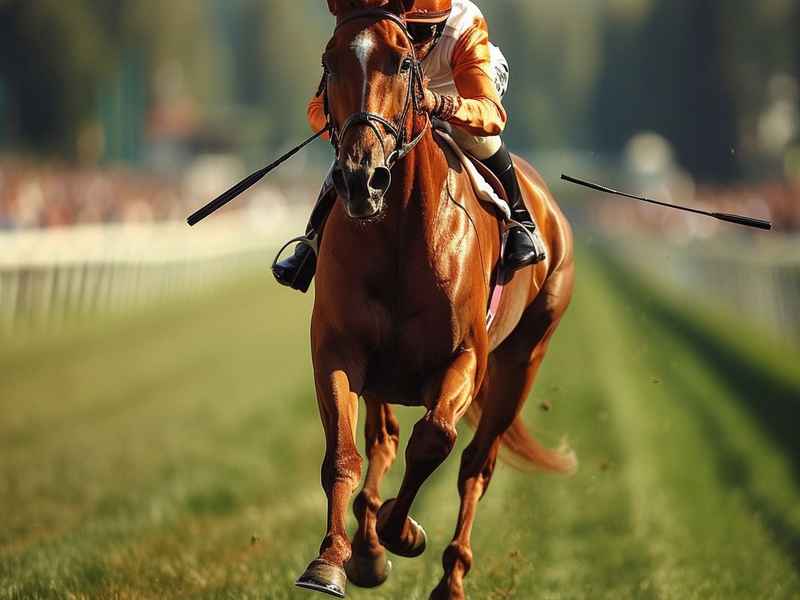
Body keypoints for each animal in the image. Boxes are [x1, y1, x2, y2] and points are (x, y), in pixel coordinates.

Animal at [295, 2, 576, 598]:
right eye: (330, 63)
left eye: (402, 62)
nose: (361, 178)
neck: (400, 231)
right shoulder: (338, 347)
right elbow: (344, 454)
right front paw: (333, 558)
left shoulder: (467, 356)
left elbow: (435, 439)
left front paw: (401, 532)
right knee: (382, 440)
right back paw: (368, 549)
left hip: (524, 358)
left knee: (477, 464)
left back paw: (450, 576)